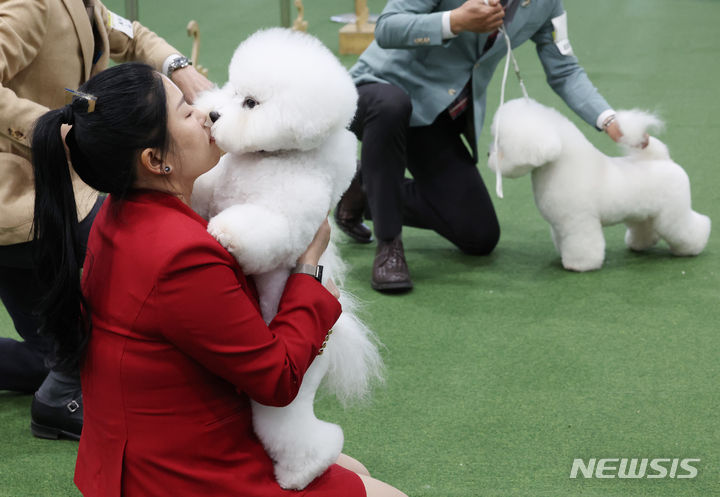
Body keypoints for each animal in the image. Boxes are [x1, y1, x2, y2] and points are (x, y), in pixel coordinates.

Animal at [190, 28, 382, 488]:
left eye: (251, 103)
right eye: (233, 90)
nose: (213, 115)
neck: (268, 158)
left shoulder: (286, 213)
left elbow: (262, 229)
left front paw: (225, 234)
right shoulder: (210, 188)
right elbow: (202, 188)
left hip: (287, 392)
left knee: (296, 431)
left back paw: (305, 470)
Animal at [486, 97, 712, 272]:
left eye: (501, 144)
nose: (488, 154)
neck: (564, 167)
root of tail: (663, 159)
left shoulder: (579, 222)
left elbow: (583, 245)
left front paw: (578, 265)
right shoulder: (561, 225)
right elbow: (562, 241)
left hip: (673, 213)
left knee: (690, 227)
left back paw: (693, 247)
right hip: (643, 213)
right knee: (645, 228)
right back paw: (640, 245)